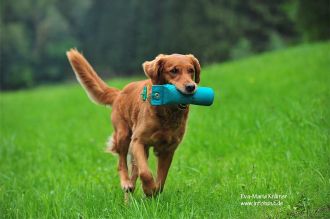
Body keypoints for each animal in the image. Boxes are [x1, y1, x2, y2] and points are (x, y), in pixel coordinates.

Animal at [66, 50, 200, 197]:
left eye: (191, 70)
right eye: (174, 71)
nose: (191, 87)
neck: (166, 111)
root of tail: (119, 92)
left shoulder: (168, 149)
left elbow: (161, 180)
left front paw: (153, 193)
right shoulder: (137, 141)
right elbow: (145, 172)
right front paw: (148, 189)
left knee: (134, 175)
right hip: (123, 135)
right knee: (121, 163)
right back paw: (126, 184)